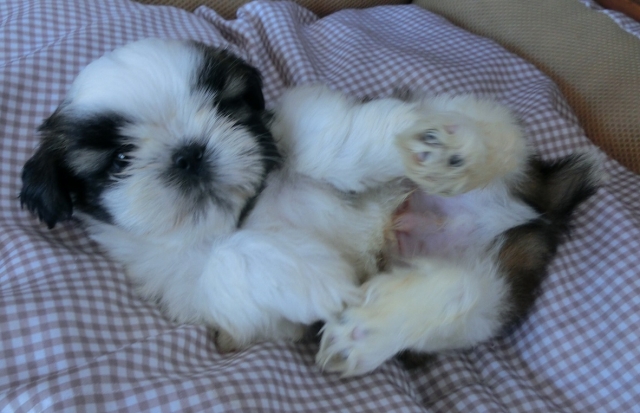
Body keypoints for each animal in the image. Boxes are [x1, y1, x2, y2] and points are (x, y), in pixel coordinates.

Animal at [20, 38, 599, 376]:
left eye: (223, 108)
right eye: (119, 159)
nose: (189, 152)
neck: (240, 211)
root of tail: (529, 212)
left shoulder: (297, 118)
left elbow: (322, 141)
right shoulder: (207, 303)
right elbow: (229, 259)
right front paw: (321, 278)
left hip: (470, 132)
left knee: (500, 135)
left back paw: (454, 152)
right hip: (487, 296)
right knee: (465, 289)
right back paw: (366, 329)